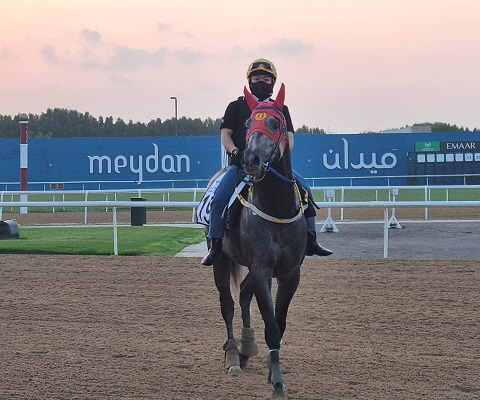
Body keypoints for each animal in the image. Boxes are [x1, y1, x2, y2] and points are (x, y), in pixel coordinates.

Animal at [204, 83, 306, 396]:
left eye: (275, 123)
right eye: (248, 123)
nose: (250, 160)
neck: (276, 208)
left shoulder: (290, 273)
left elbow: (279, 323)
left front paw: (272, 370)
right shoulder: (262, 269)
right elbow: (271, 325)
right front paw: (278, 382)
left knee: (244, 295)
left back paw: (247, 348)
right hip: (221, 260)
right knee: (228, 304)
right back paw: (233, 355)